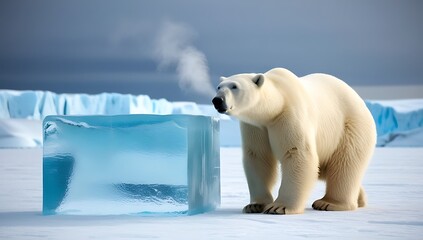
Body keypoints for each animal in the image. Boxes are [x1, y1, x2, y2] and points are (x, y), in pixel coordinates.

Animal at [214, 68, 376, 216]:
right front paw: (254, 205)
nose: (217, 100)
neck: (276, 105)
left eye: (234, 86)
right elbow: (258, 157)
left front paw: (278, 207)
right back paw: (359, 199)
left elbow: (297, 153)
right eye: (219, 87)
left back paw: (329, 203)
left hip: (350, 127)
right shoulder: (255, 126)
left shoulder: (289, 116)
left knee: (345, 163)